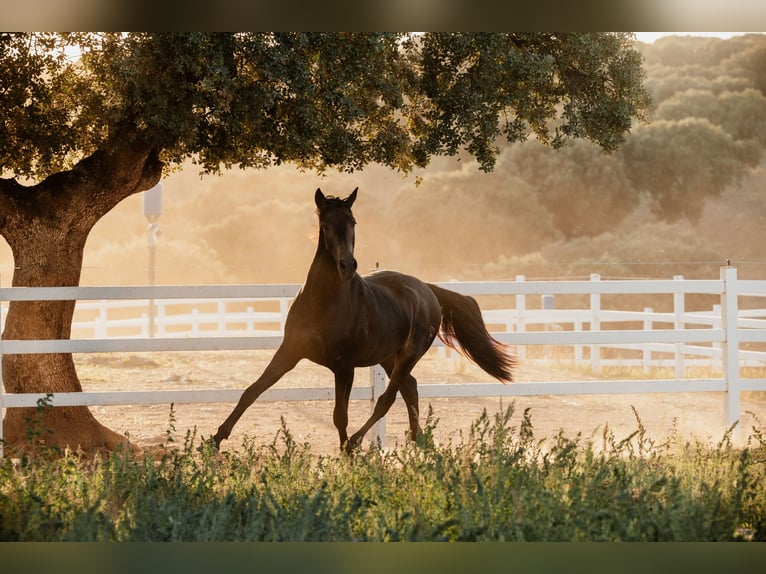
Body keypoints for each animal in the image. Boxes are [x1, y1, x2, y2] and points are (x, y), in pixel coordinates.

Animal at [213, 190, 516, 454]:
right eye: (325, 224)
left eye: (353, 222)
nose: (348, 266)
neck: (323, 302)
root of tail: (427, 289)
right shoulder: (290, 352)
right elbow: (252, 390)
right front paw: (215, 439)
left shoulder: (344, 366)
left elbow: (340, 415)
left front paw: (345, 452)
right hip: (388, 357)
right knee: (410, 387)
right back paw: (418, 440)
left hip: (409, 355)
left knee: (387, 399)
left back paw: (357, 442)